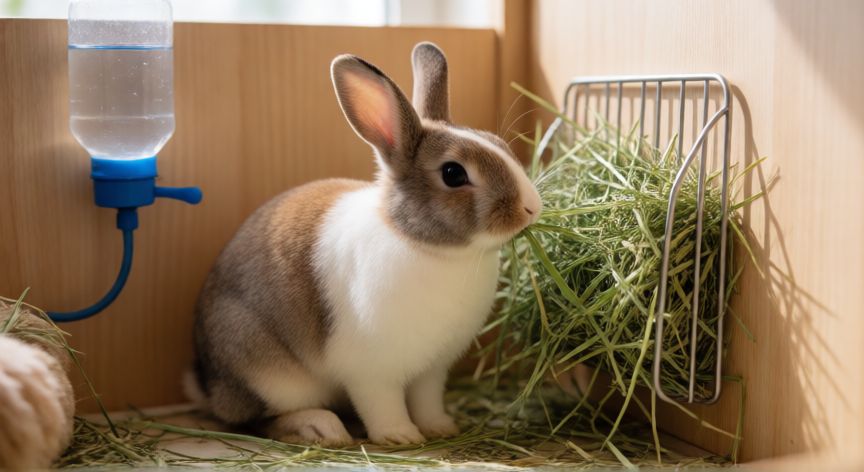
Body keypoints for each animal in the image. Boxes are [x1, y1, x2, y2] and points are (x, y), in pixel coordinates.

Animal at [190, 41, 541, 446]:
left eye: (500, 144)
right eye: (454, 174)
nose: (531, 207)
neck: (427, 247)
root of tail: (206, 380)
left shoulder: (432, 370)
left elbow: (427, 401)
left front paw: (440, 427)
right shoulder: (371, 372)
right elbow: (383, 406)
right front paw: (401, 436)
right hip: (267, 373)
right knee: (256, 420)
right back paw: (320, 428)